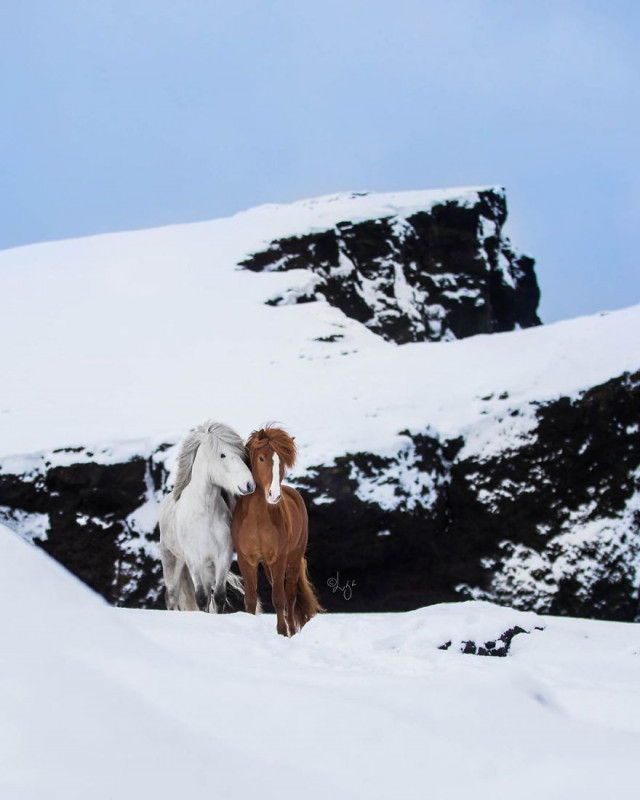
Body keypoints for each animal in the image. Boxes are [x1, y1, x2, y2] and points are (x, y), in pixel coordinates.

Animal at [159, 424, 256, 612]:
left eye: (242, 455)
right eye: (222, 454)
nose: (249, 485)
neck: (206, 514)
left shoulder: (223, 557)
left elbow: (217, 597)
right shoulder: (194, 560)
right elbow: (202, 598)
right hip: (172, 560)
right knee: (172, 597)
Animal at [231, 424, 324, 636]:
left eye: (282, 461)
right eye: (261, 458)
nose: (274, 495)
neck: (257, 519)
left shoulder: (279, 558)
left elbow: (279, 599)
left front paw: (282, 632)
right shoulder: (246, 560)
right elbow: (250, 599)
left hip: (293, 559)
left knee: (289, 596)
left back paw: (292, 630)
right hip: (267, 566)